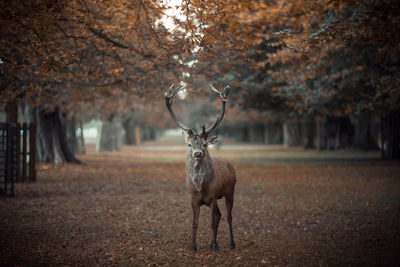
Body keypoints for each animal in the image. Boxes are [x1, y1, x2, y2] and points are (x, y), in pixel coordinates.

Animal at [165, 84, 236, 253]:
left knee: (228, 216)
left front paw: (215, 248)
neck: (201, 188)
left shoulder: (213, 196)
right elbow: (194, 223)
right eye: (189, 144)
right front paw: (193, 247)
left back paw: (231, 244)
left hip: (230, 190)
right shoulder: (193, 198)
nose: (197, 153)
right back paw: (212, 243)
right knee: (220, 215)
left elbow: (211, 223)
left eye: (204, 144)